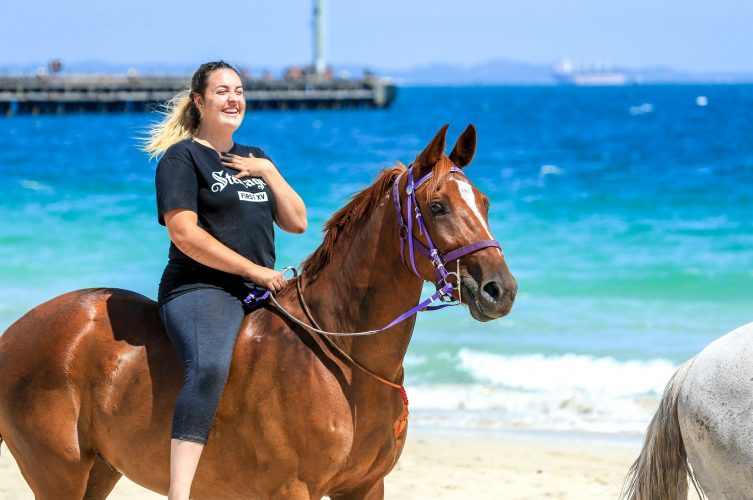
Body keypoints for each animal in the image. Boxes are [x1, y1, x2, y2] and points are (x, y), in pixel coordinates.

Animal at [0, 123, 516, 498]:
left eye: (485, 202)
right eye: (437, 206)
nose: (501, 290)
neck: (346, 363)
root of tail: (14, 332)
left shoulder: (366, 487)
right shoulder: (293, 490)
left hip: (100, 471)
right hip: (59, 475)